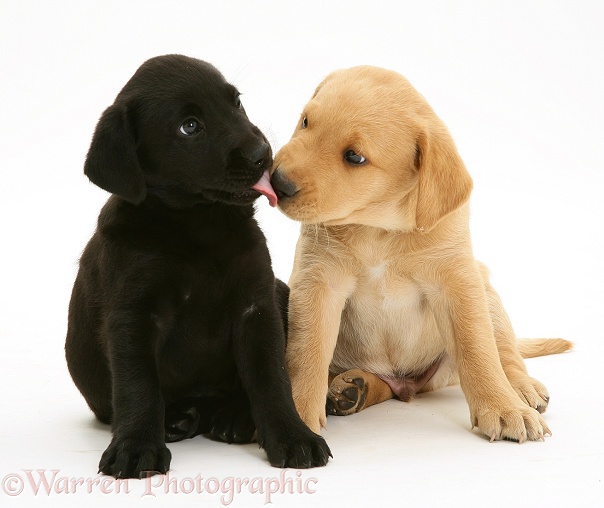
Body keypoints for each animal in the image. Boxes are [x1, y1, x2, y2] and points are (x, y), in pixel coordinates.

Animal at [65, 53, 330, 478]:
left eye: (236, 103)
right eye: (189, 127)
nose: (262, 153)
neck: (199, 227)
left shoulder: (257, 306)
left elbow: (271, 378)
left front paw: (293, 436)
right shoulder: (133, 317)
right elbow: (138, 385)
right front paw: (136, 446)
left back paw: (235, 417)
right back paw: (176, 419)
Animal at [272, 65, 572, 442]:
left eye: (354, 156)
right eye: (306, 122)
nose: (277, 181)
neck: (379, 230)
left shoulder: (457, 282)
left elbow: (478, 350)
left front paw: (503, 409)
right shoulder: (317, 280)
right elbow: (306, 353)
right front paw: (297, 414)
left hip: (485, 291)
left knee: (506, 352)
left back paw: (521, 388)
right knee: (384, 386)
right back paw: (352, 388)